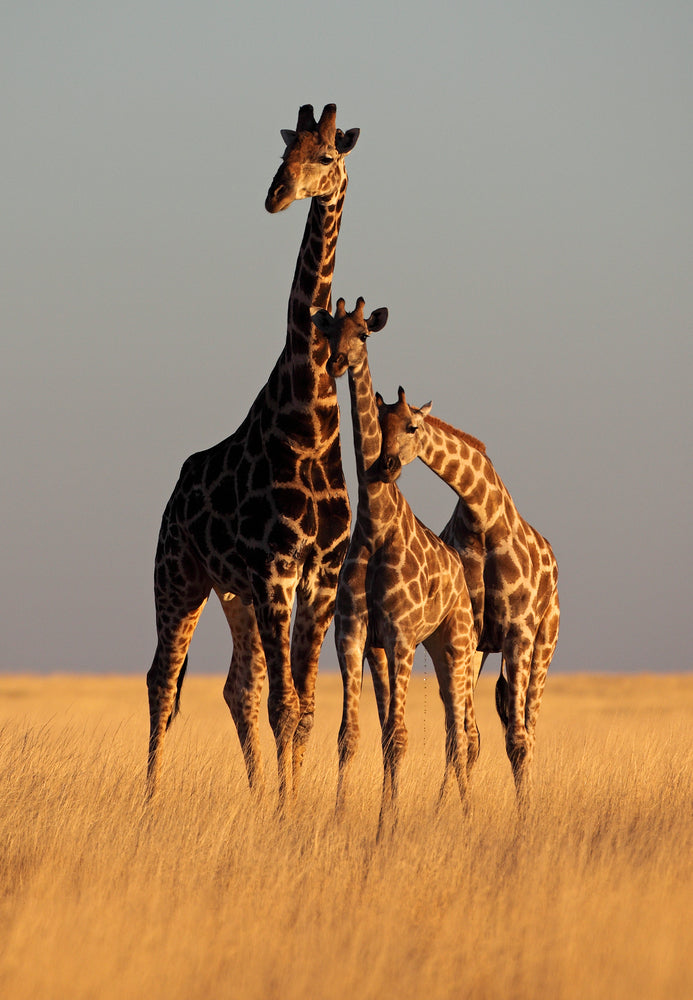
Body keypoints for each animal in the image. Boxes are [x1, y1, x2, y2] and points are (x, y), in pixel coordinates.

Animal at [146, 104, 360, 810]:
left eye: (326, 156)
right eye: (285, 150)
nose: (275, 195)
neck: (309, 416)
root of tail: (174, 493)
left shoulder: (317, 575)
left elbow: (303, 707)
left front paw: (288, 807)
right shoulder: (276, 571)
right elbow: (285, 706)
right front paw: (288, 812)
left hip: (231, 591)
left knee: (237, 687)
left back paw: (256, 792)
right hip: (179, 578)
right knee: (162, 681)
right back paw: (150, 801)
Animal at [311, 300, 479, 835]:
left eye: (363, 333)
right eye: (329, 329)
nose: (336, 362)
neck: (375, 520)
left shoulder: (402, 633)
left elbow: (401, 737)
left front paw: (389, 827)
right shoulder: (355, 633)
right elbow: (353, 735)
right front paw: (345, 817)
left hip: (455, 644)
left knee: (460, 736)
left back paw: (465, 816)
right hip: (397, 652)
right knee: (411, 730)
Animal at [376, 388, 560, 812]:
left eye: (412, 426)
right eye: (378, 425)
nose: (386, 464)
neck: (482, 518)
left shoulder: (518, 631)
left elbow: (517, 739)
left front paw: (524, 815)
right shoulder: (469, 633)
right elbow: (465, 738)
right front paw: (448, 808)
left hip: (545, 639)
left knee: (529, 728)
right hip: (480, 649)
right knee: (467, 734)